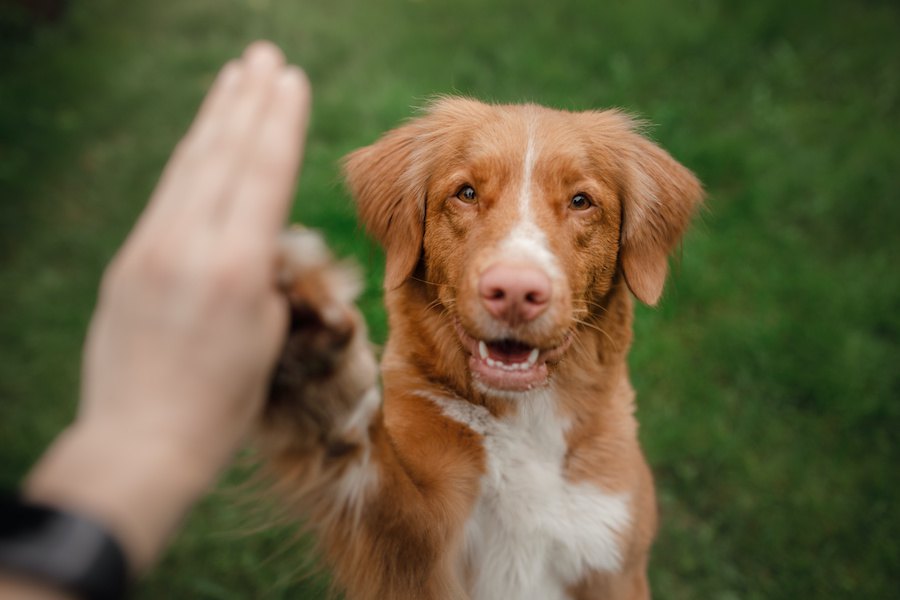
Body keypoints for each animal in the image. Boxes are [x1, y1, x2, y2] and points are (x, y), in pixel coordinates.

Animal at [256, 98, 700, 600]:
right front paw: (321, 375)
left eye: (581, 201)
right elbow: (374, 478)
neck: (525, 418)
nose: (515, 291)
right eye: (466, 193)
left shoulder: (616, 560)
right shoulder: (423, 552)